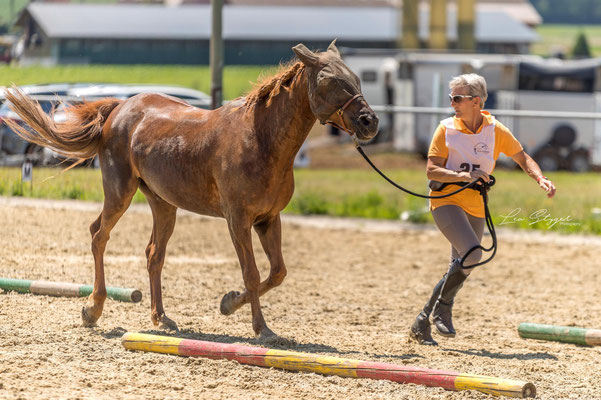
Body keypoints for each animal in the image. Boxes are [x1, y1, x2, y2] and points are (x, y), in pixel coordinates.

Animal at [4, 40, 378, 340]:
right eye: (332, 81)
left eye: (356, 79)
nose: (369, 122)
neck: (261, 139)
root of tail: (120, 109)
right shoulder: (238, 220)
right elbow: (253, 273)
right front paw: (262, 329)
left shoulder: (268, 219)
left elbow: (277, 273)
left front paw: (229, 303)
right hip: (119, 193)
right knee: (99, 235)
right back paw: (93, 309)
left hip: (164, 205)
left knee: (153, 254)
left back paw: (160, 318)